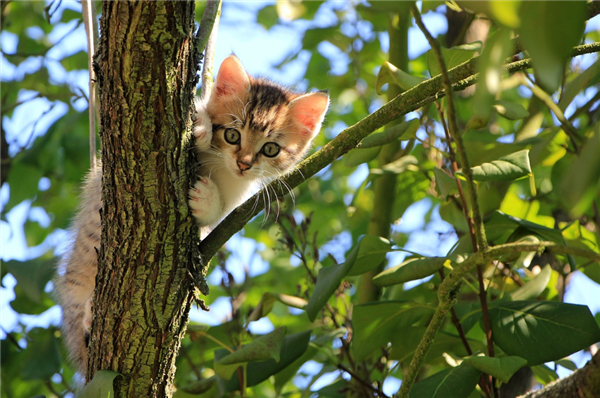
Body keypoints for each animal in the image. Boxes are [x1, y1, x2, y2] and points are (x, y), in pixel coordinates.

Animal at [53, 54, 328, 374]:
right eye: (232, 134)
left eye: (271, 149)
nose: (244, 163)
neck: (220, 167)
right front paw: (200, 126)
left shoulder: (235, 197)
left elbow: (216, 215)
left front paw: (206, 199)